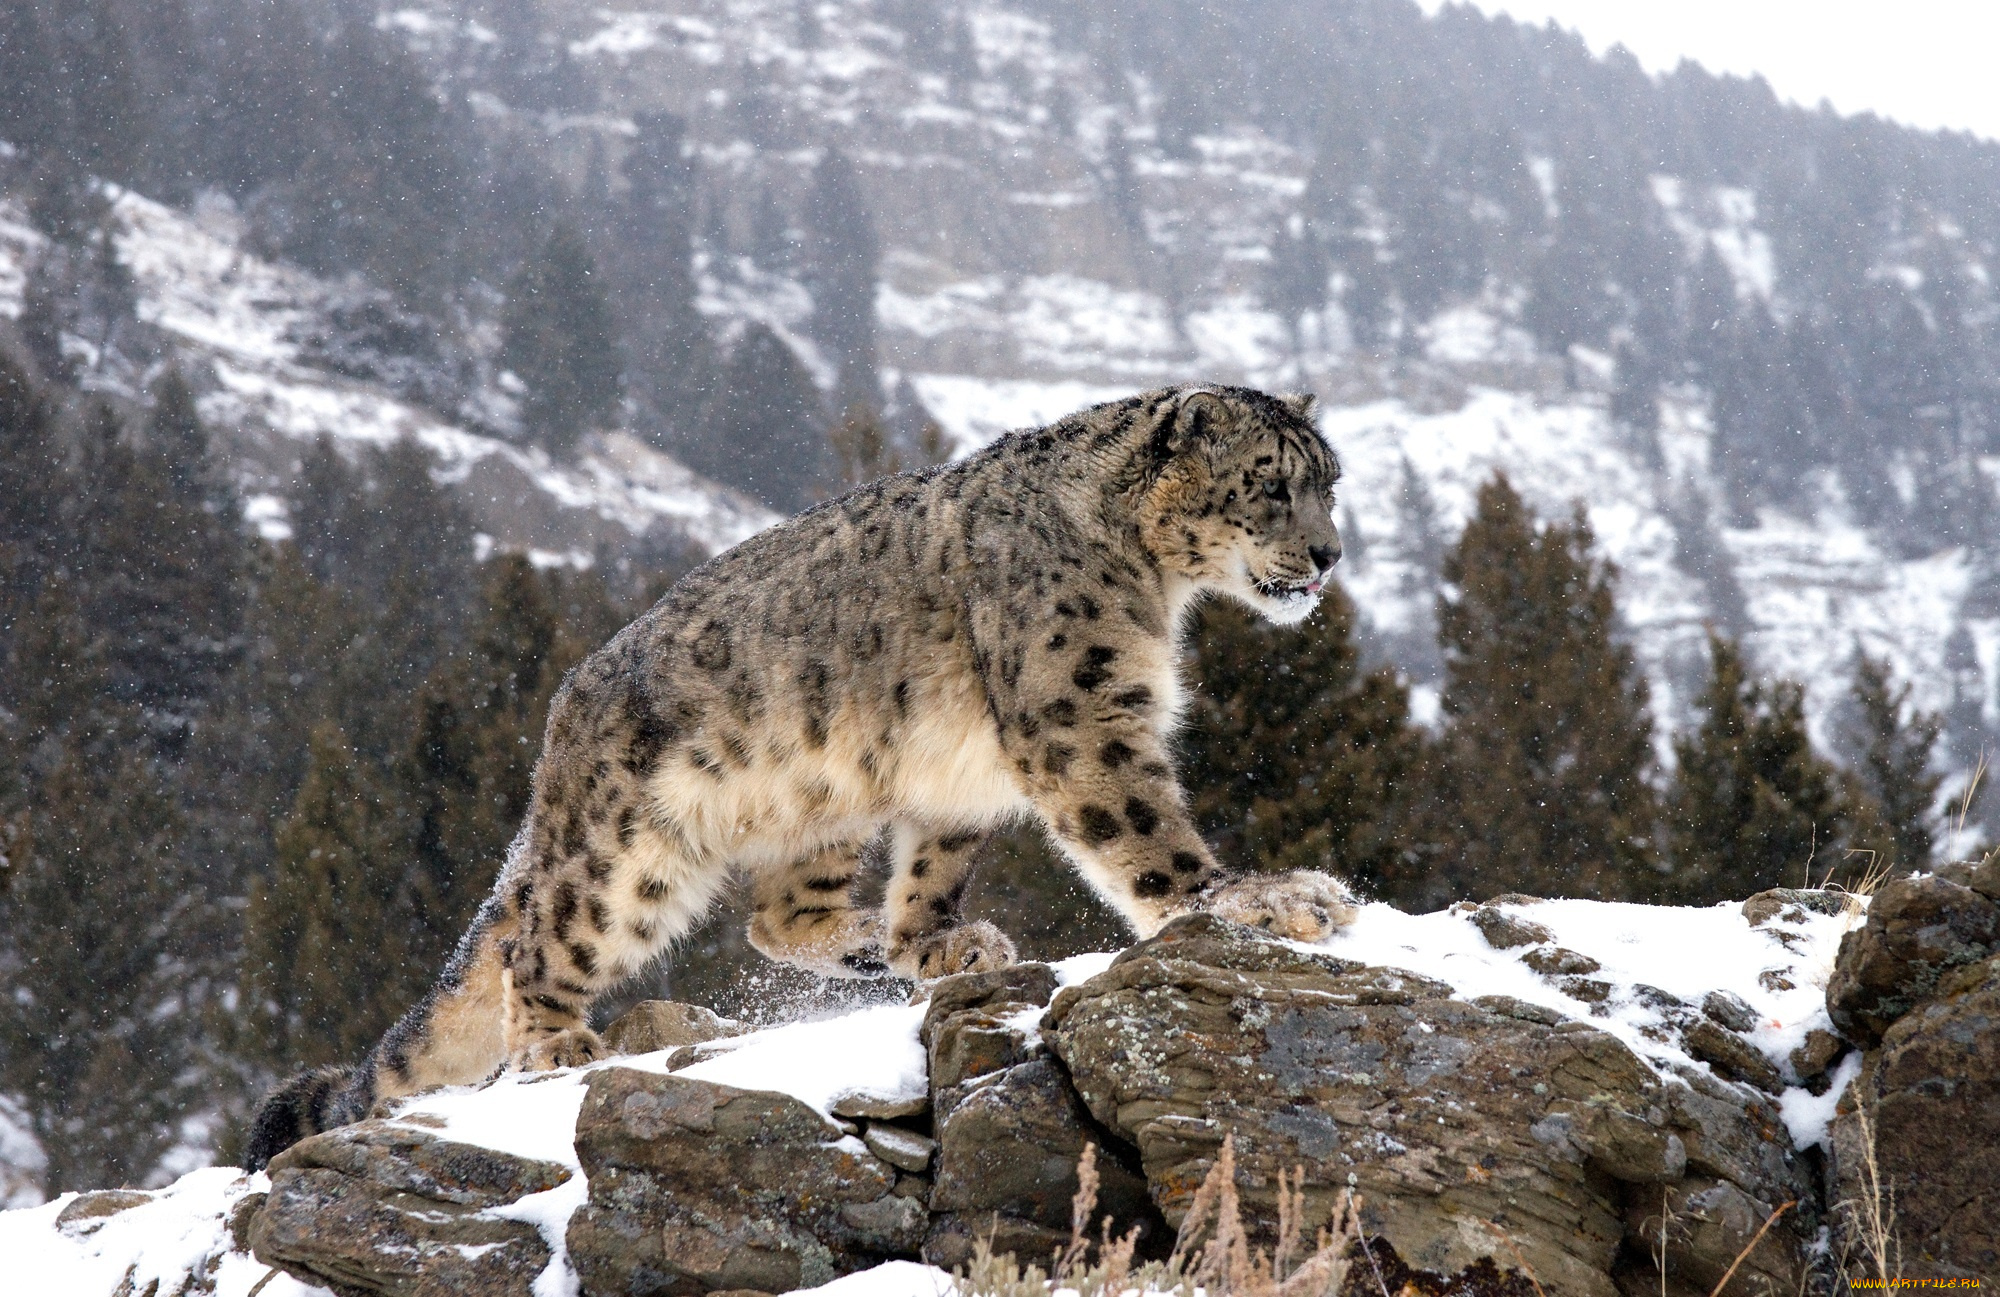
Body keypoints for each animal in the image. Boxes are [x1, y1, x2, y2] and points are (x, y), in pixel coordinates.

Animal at [238, 382, 1360, 1168]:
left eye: (1330, 482)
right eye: (1270, 482)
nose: (1328, 554)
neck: (1156, 588)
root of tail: (562, 717)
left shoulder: (962, 773)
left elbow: (936, 861)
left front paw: (936, 940)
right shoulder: (1078, 712)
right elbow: (1145, 832)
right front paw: (1258, 897)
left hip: (822, 799)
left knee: (773, 916)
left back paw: (867, 941)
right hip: (623, 853)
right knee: (539, 937)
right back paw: (557, 1042)